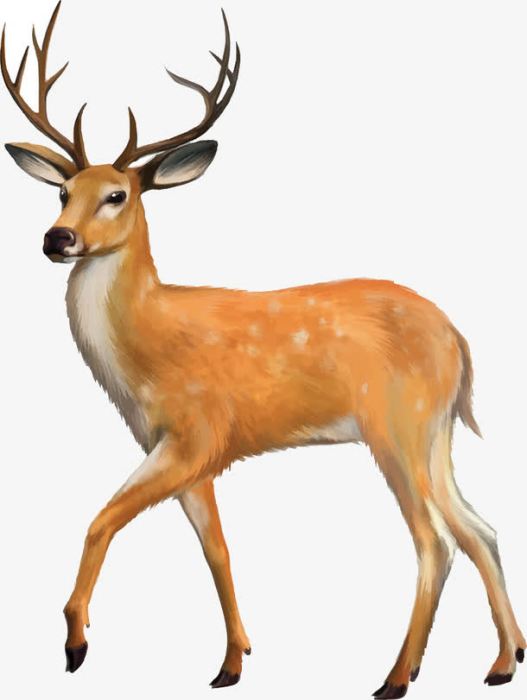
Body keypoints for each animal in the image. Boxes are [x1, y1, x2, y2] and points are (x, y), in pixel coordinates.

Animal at [1, 3, 525, 697]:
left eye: (117, 195)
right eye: (62, 193)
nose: (56, 239)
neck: (145, 347)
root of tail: (460, 342)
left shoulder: (198, 433)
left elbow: (101, 519)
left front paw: (76, 644)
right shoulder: (177, 448)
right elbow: (217, 548)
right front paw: (232, 662)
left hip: (396, 424)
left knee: (434, 541)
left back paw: (395, 677)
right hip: (436, 431)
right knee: (480, 529)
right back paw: (503, 662)